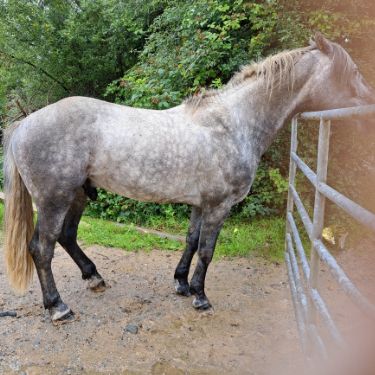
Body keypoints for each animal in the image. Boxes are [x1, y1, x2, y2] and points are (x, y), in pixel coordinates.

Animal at [3, 33, 375, 324]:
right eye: (354, 71)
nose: (369, 110)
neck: (233, 123)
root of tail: (24, 124)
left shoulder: (201, 204)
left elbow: (191, 242)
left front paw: (181, 284)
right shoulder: (219, 206)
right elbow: (208, 250)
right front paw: (200, 295)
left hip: (77, 195)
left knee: (66, 237)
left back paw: (94, 278)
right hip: (55, 199)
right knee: (42, 248)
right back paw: (58, 307)